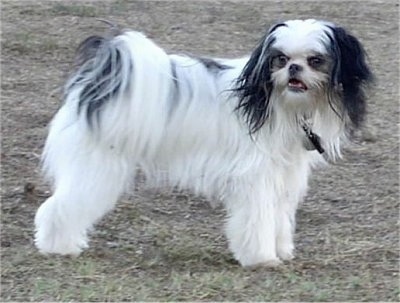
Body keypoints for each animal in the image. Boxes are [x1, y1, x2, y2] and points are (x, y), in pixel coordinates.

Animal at [33, 19, 372, 268]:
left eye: (316, 60)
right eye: (280, 59)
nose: (294, 69)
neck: (279, 103)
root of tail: (97, 81)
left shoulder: (282, 174)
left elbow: (278, 216)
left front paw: (281, 249)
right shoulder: (255, 178)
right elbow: (258, 219)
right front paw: (262, 258)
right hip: (97, 169)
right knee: (60, 207)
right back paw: (59, 246)